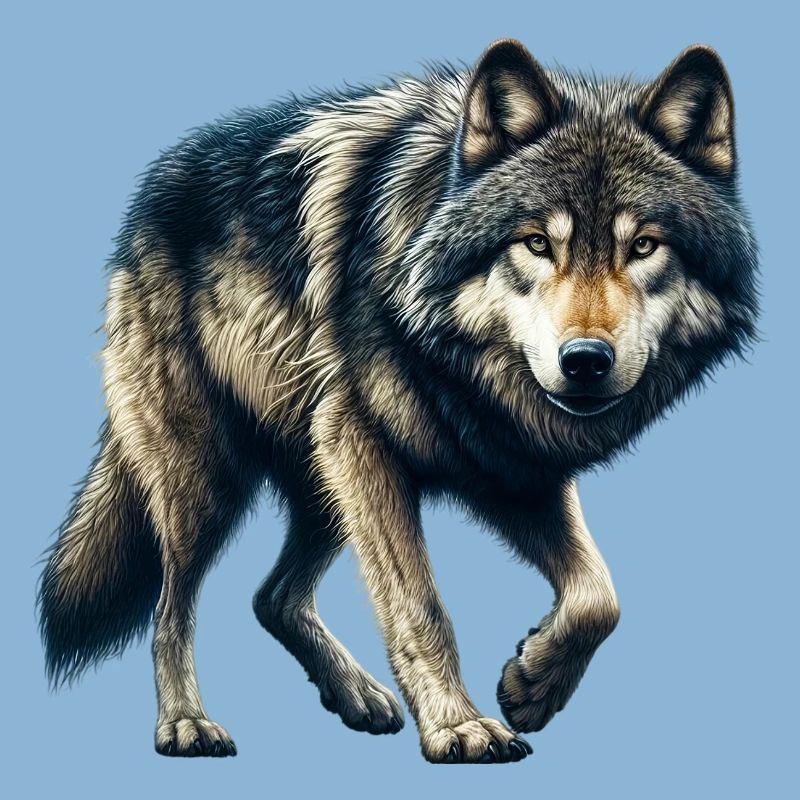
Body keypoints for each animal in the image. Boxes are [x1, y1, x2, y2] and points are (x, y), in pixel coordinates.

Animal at [38, 39, 758, 763]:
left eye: (643, 246)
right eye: (536, 243)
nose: (585, 362)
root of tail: (148, 191)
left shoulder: (512, 469)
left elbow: (600, 596)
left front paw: (533, 685)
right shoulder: (368, 444)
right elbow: (420, 606)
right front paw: (458, 727)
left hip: (324, 481)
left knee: (272, 597)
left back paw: (354, 694)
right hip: (214, 480)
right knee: (170, 607)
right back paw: (186, 723)